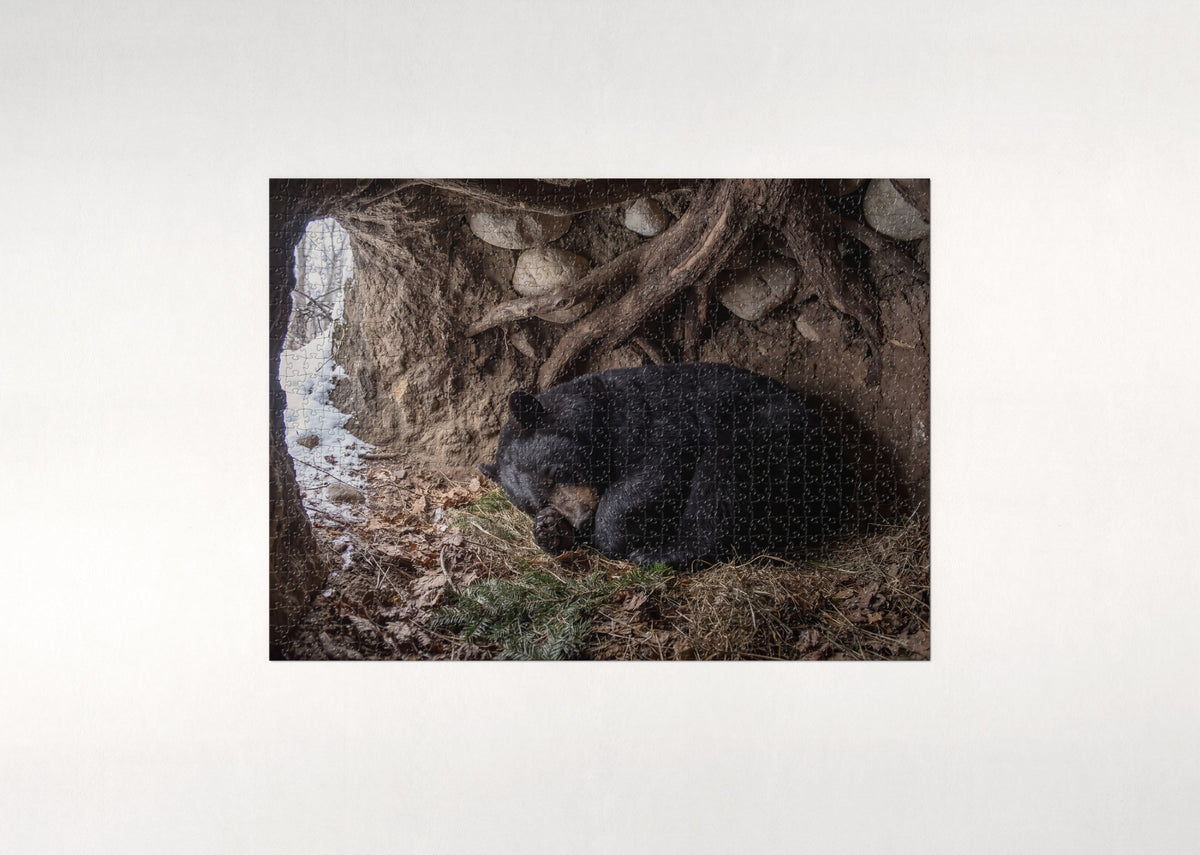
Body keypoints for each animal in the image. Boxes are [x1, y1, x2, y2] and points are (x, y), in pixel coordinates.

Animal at [478, 363, 850, 570]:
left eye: (554, 473)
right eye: (535, 502)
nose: (581, 519)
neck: (599, 414)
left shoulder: (652, 423)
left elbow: (654, 473)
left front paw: (609, 535)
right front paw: (550, 529)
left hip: (772, 434)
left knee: (720, 481)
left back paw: (662, 554)